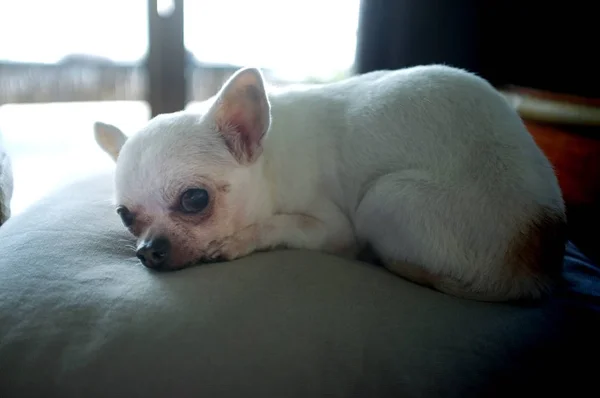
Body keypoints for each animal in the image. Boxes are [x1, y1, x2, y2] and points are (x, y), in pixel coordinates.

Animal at [94, 65, 568, 302]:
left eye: (195, 199)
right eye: (125, 217)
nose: (147, 251)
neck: (268, 158)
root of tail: (540, 267)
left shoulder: (334, 229)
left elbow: (278, 225)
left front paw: (238, 240)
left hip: (384, 198)